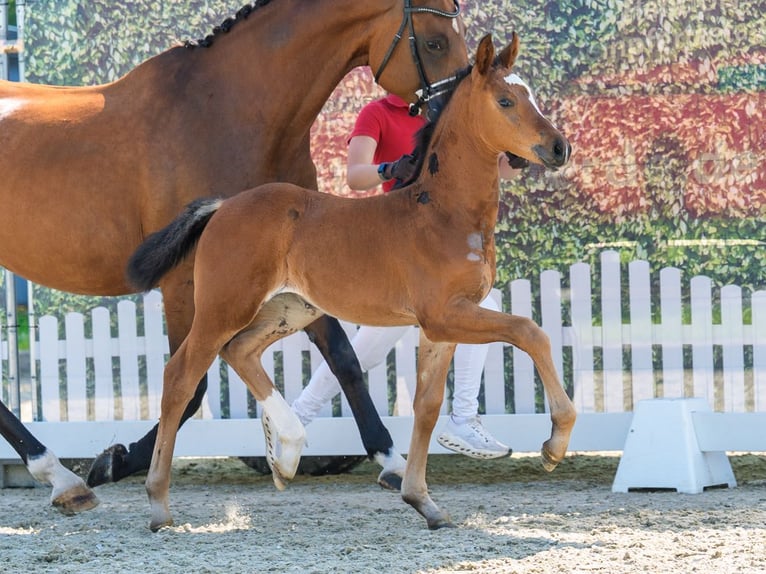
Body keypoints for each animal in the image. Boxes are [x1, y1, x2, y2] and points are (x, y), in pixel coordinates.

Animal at [0, 0, 469, 506]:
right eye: (435, 41)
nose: (451, 122)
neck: (228, 113)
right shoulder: (185, 280)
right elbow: (192, 383)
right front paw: (116, 462)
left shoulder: (296, 266)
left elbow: (344, 359)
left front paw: (391, 461)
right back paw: (58, 474)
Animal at [126, 32, 577, 531]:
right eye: (505, 100)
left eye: (530, 94)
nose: (559, 147)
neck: (442, 213)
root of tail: (222, 206)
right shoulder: (445, 314)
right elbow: (530, 331)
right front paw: (554, 445)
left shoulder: (441, 328)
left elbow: (426, 407)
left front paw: (424, 502)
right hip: (224, 307)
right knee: (180, 376)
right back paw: (159, 502)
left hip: (290, 308)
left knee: (239, 350)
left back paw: (286, 455)